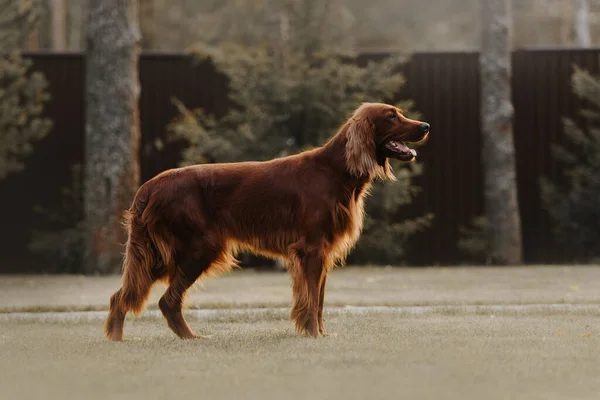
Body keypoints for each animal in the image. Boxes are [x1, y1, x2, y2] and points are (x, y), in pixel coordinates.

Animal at [104, 101, 432, 340]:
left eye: (400, 113)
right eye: (391, 116)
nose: (426, 126)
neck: (335, 170)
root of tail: (150, 186)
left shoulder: (323, 252)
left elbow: (319, 300)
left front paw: (321, 334)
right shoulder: (311, 249)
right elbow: (311, 300)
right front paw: (313, 335)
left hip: (158, 255)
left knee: (121, 295)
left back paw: (118, 339)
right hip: (198, 248)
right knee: (167, 301)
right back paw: (190, 338)